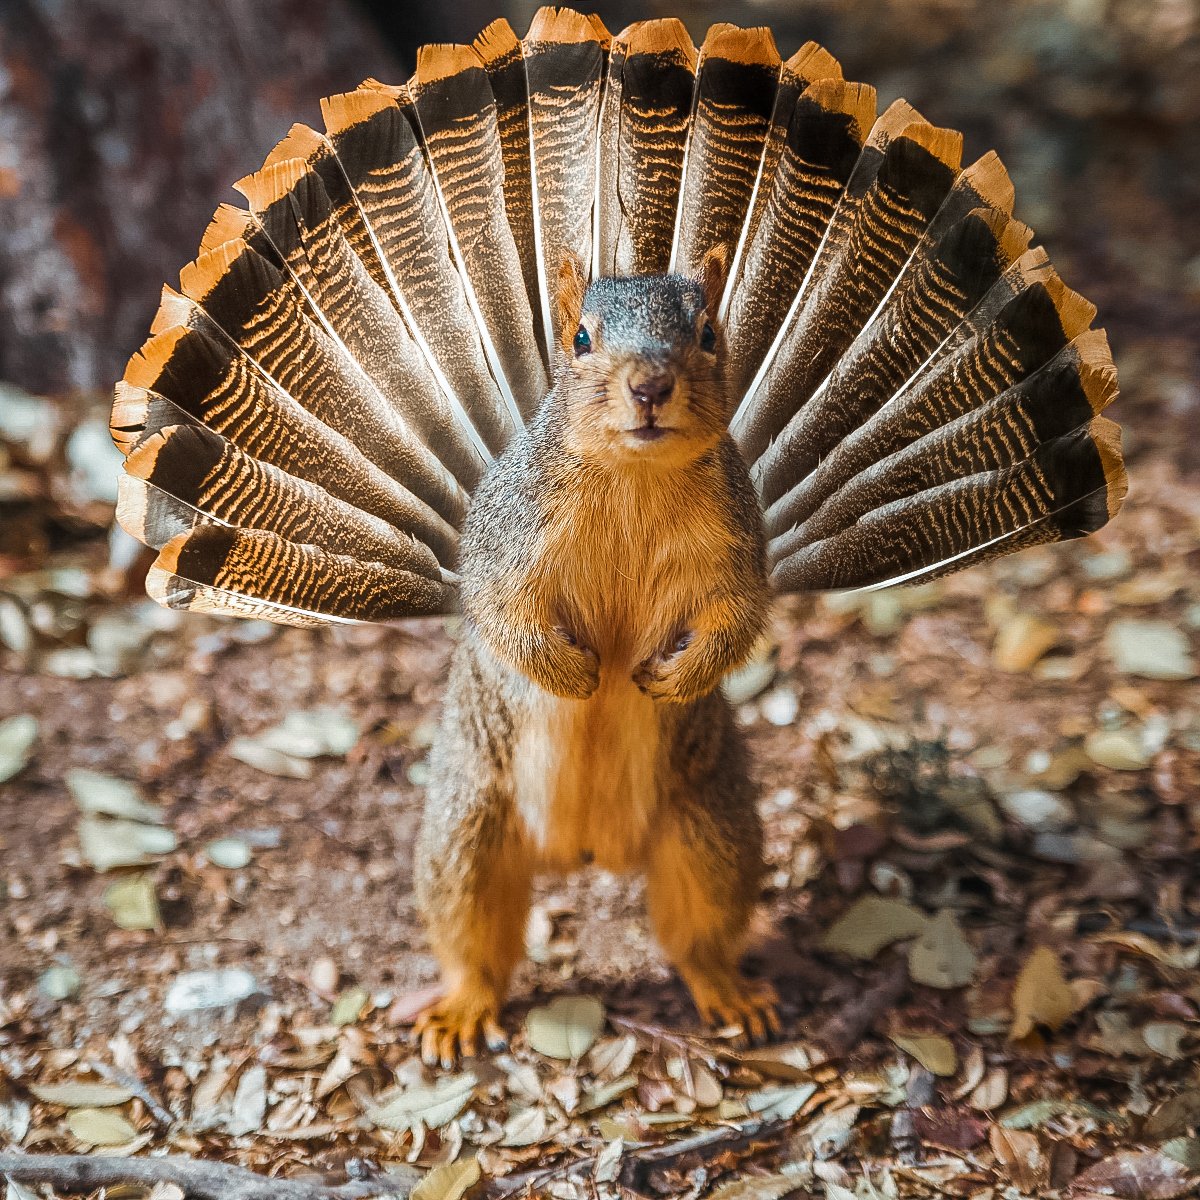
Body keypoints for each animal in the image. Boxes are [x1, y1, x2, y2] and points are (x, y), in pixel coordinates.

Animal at [413, 255, 778, 1065]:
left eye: (709, 333)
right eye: (580, 337)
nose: (649, 386)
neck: (634, 474)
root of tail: (586, 853)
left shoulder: (737, 551)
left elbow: (736, 622)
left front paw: (671, 677)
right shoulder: (508, 536)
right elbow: (502, 611)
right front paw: (573, 673)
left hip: (711, 827)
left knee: (697, 933)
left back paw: (730, 992)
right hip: (468, 830)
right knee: (473, 939)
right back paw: (462, 1008)